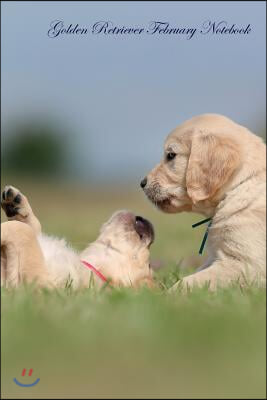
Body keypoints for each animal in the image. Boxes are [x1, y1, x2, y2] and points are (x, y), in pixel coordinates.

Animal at [0, 186, 155, 290]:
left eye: (148, 265)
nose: (151, 229)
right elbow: (33, 227)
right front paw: (17, 204)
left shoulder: (40, 284)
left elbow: (24, 231)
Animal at [141, 112, 266, 290]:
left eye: (171, 155)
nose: (142, 183)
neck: (239, 186)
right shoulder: (215, 257)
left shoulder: (248, 264)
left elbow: (191, 281)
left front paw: (169, 293)